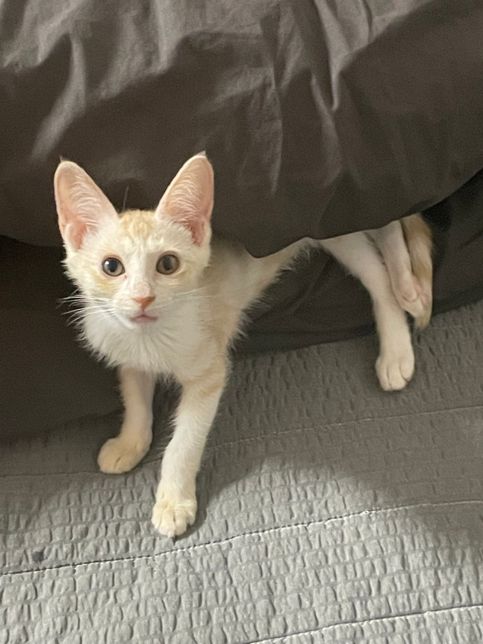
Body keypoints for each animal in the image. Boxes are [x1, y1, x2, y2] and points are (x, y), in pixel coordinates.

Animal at [54, 153, 432, 537]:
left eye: (167, 264)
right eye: (111, 266)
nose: (142, 298)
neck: (150, 338)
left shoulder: (210, 371)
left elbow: (184, 442)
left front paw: (174, 500)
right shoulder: (126, 353)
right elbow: (134, 398)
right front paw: (130, 442)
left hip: (331, 224)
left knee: (382, 252)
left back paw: (401, 316)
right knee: (385, 229)